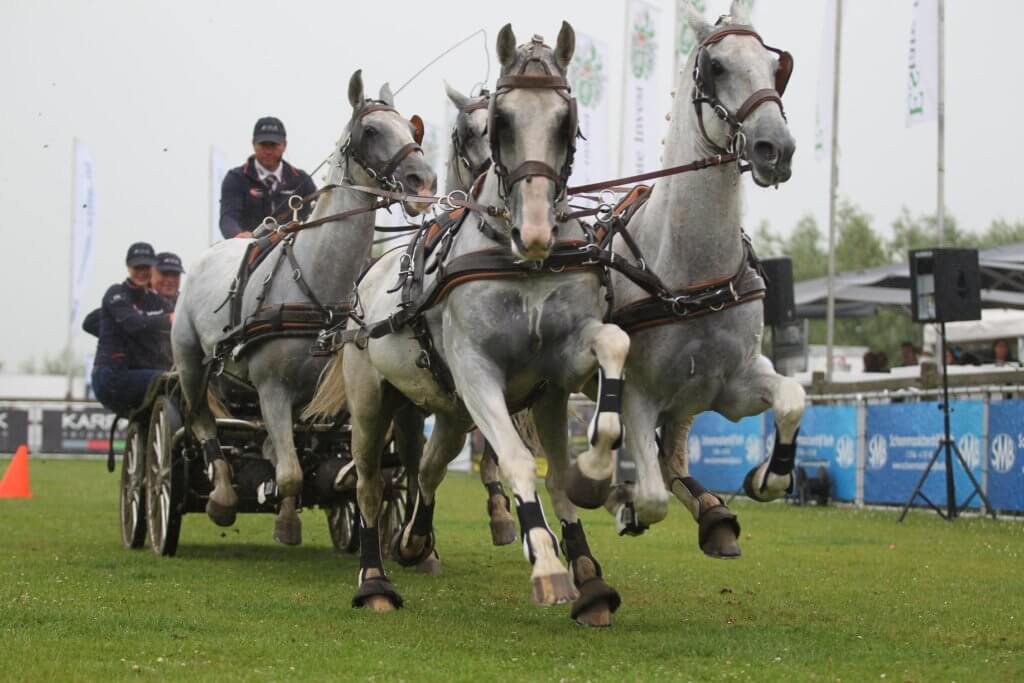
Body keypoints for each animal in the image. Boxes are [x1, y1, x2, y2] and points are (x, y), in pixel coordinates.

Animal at [172, 70, 436, 544]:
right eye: (371, 131)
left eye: (412, 128)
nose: (423, 182)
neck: (316, 281)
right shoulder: (272, 388)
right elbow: (292, 471)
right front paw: (286, 521)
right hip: (190, 363)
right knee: (202, 422)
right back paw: (222, 495)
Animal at [311, 25, 626, 626]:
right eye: (502, 120)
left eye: (567, 119)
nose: (534, 230)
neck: (519, 262)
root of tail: (367, 281)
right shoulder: (478, 373)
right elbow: (519, 461)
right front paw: (547, 564)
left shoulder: (558, 374)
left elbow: (572, 453)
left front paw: (592, 509)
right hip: (373, 402)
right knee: (368, 485)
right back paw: (375, 578)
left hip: (448, 410)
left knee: (429, 470)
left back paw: (416, 541)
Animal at [565, 1, 802, 557]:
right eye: (715, 66)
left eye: (775, 66)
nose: (775, 149)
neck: (695, 278)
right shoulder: (637, 396)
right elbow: (650, 496)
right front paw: (623, 501)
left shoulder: (733, 386)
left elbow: (793, 399)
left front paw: (766, 476)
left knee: (671, 453)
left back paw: (714, 515)